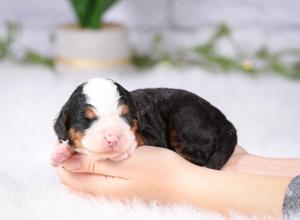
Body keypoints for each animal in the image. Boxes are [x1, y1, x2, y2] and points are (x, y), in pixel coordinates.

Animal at [52, 78, 239, 169]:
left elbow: (139, 136)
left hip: (186, 119)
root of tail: (225, 121)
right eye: (86, 119)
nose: (113, 138)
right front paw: (61, 152)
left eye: (126, 116)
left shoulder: (154, 134)